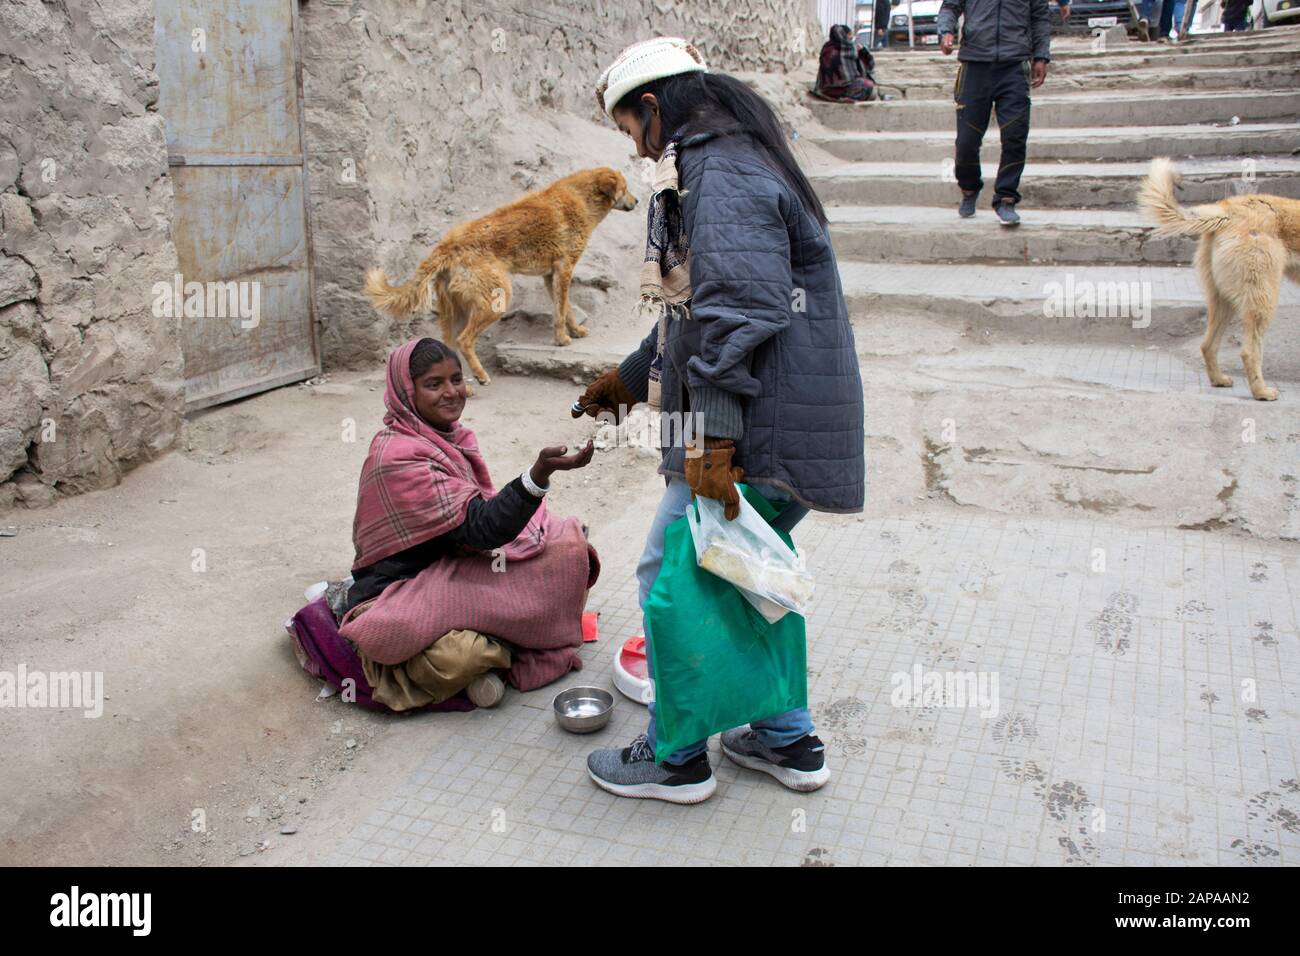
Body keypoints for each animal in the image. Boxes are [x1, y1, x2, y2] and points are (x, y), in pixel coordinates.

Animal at [364, 167, 637, 385]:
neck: (581, 198)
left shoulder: (551, 276)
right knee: (464, 341)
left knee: (449, 347)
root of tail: (447, 244)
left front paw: (576, 331)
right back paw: (481, 376)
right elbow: (560, 313)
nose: (637, 201)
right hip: (498, 300)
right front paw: (561, 339)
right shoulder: (564, 268)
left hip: (454, 311)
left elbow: (566, 308)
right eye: (625, 188)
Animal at [1138, 157, 1300, 400]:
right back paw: (1261, 392)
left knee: (1208, 345)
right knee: (1249, 351)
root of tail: (1227, 210)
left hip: (1222, 298)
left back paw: (1219, 379)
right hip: (1263, 297)